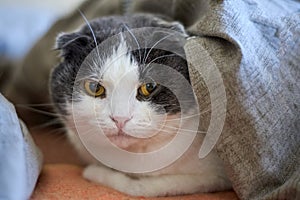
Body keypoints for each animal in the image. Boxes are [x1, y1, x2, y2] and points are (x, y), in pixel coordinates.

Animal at [49, 14, 232, 197]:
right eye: (94, 87)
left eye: (149, 86)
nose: (120, 118)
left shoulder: (213, 178)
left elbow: (139, 188)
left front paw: (94, 173)